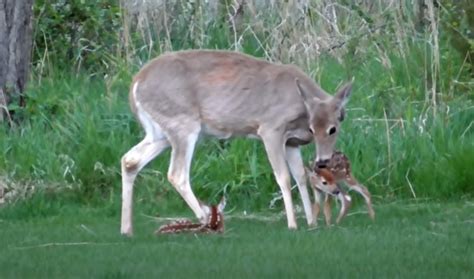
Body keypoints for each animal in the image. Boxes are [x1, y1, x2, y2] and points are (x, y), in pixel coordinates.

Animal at [122, 50, 352, 236]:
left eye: (333, 128)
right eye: (315, 129)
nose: (322, 161)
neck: (300, 105)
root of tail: (135, 84)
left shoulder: (292, 142)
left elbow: (300, 176)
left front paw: (312, 222)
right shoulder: (270, 129)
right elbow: (284, 177)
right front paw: (293, 224)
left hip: (159, 133)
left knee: (130, 160)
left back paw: (127, 229)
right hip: (182, 124)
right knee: (176, 173)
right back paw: (206, 219)